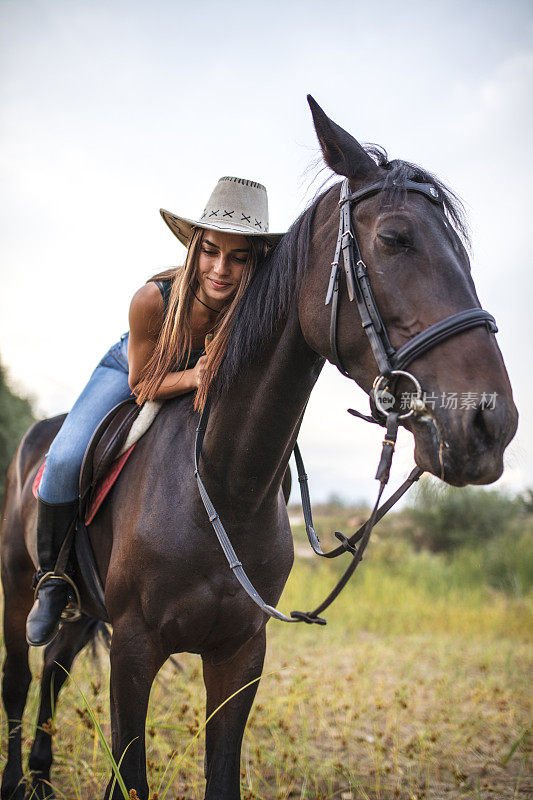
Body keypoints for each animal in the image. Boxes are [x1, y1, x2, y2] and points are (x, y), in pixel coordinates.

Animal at [0, 100, 516, 800]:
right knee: (20, 680)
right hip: (18, 589)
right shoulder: (134, 652)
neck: (221, 487)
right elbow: (129, 774)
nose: (493, 424)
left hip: (84, 612)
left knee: (54, 667)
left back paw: (40, 778)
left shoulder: (240, 655)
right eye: (394, 239)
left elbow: (221, 774)